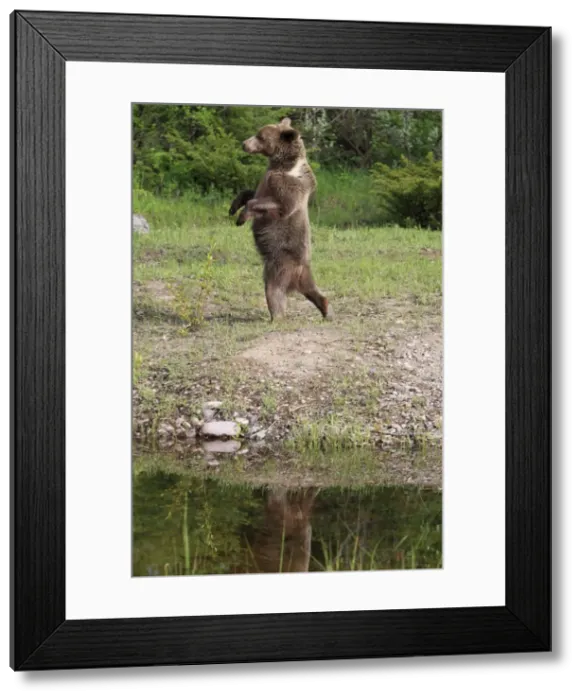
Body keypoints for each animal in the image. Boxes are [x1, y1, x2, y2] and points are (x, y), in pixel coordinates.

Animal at [229, 117, 331, 322]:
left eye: (260, 136)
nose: (244, 143)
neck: (283, 165)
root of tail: (299, 270)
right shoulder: (266, 181)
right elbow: (249, 193)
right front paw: (233, 208)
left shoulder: (288, 185)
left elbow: (279, 205)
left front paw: (242, 217)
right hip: (302, 274)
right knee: (312, 290)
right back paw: (325, 309)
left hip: (280, 264)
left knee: (273, 289)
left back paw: (276, 316)